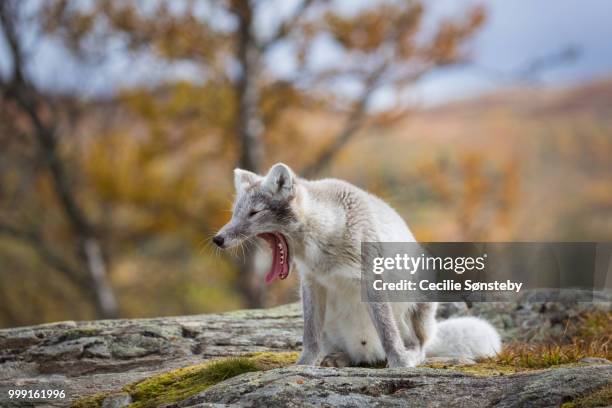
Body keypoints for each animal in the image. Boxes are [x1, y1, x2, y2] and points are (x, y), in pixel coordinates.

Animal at [213, 164, 500, 368]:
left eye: (254, 213)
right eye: (235, 214)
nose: (217, 239)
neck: (326, 239)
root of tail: (367, 349)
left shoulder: (371, 277)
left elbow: (387, 330)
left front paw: (399, 364)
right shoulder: (311, 282)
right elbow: (310, 336)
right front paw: (303, 366)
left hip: (416, 304)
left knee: (419, 345)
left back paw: (410, 355)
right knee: (349, 352)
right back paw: (338, 359)